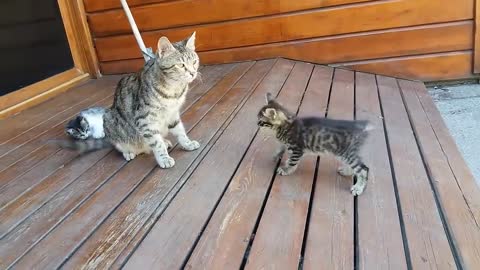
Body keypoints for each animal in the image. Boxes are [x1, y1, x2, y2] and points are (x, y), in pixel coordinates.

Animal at [58, 32, 201, 169]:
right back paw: (129, 151)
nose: (193, 73)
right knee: (124, 145)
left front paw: (187, 143)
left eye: (194, 61)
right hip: (109, 118)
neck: (174, 90)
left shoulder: (172, 114)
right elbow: (157, 143)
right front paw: (164, 159)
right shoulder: (145, 120)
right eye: (181, 65)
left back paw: (164, 142)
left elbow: (180, 131)